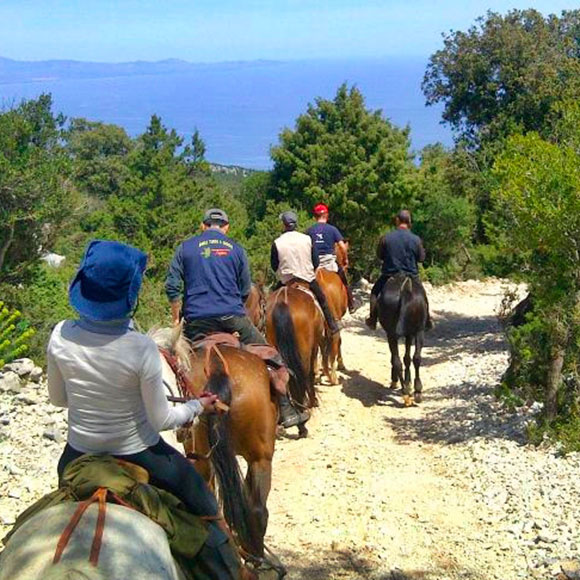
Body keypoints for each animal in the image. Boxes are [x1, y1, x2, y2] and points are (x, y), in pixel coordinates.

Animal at [266, 284, 324, 438]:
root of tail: (283, 301)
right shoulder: (314, 348)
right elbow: (311, 374)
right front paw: (313, 401)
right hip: (304, 350)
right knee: (300, 376)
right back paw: (302, 421)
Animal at [378, 274, 428, 406]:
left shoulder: (400, 335)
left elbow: (403, 359)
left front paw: (403, 383)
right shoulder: (410, 334)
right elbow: (407, 358)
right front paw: (408, 383)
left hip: (392, 334)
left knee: (398, 361)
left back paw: (406, 393)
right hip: (419, 331)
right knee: (416, 358)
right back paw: (416, 392)